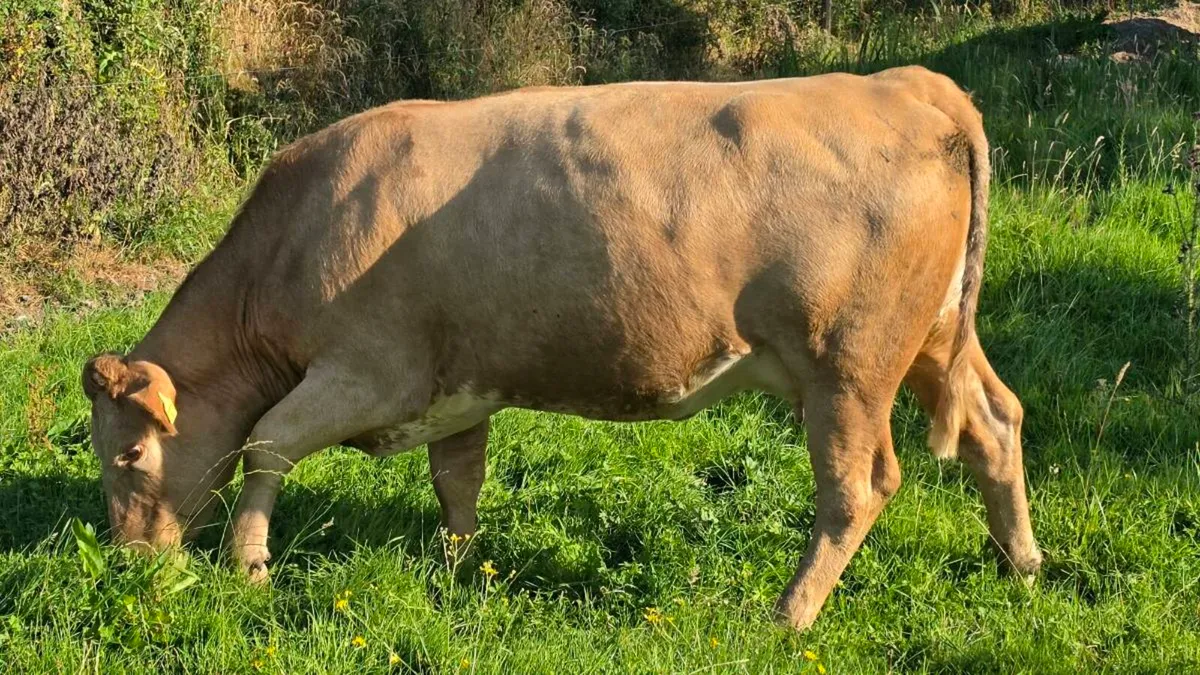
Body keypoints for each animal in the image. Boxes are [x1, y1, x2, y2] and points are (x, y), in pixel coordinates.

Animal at [81, 65, 1041, 630]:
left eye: (128, 453)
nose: (128, 560)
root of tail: (908, 83)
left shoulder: (370, 371)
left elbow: (265, 442)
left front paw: (249, 567)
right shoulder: (457, 383)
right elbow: (457, 479)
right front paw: (458, 567)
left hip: (849, 366)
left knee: (860, 485)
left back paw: (789, 613)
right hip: (936, 338)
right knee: (996, 422)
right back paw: (1020, 564)